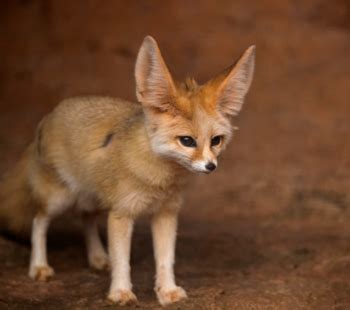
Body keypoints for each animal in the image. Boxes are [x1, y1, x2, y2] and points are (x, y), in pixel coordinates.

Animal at [0, 36, 254, 306]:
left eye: (216, 141)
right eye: (187, 141)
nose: (210, 166)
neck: (159, 180)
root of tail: (49, 114)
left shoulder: (166, 213)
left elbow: (165, 259)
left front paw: (168, 291)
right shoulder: (122, 213)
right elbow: (123, 260)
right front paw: (121, 292)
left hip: (94, 198)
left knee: (86, 217)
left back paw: (98, 258)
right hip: (59, 199)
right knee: (39, 221)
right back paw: (39, 267)